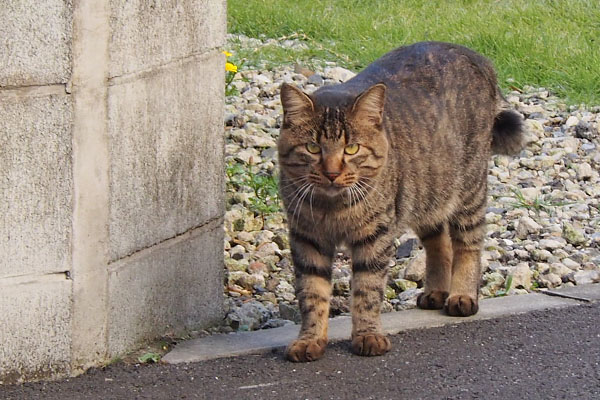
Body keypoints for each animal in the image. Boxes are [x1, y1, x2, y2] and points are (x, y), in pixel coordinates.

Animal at [278, 41, 524, 362]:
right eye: (312, 147)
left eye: (352, 148)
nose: (332, 173)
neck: (332, 208)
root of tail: (475, 55)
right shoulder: (307, 239)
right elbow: (312, 293)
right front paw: (310, 339)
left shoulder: (375, 237)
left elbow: (367, 292)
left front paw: (368, 335)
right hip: (428, 195)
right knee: (439, 245)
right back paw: (436, 291)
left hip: (469, 190)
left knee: (467, 245)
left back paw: (462, 295)